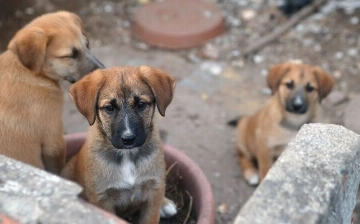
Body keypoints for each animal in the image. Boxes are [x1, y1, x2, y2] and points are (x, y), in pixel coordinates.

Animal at [62, 65, 179, 223]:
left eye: (141, 104)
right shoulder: (102, 198)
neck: (127, 155)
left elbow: (151, 217)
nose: (128, 139)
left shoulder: (153, 191)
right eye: (109, 108)